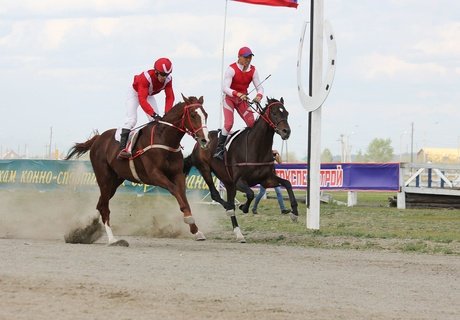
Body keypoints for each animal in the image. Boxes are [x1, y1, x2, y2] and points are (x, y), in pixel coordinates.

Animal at [66, 94, 210, 245]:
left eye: (206, 114)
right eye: (193, 115)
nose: (205, 140)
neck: (165, 140)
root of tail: (98, 138)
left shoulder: (178, 174)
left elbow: (183, 196)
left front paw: (196, 230)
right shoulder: (154, 175)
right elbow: (175, 190)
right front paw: (188, 218)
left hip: (115, 180)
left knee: (100, 204)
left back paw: (87, 231)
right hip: (103, 178)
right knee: (104, 207)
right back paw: (112, 239)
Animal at [183, 97, 298, 242]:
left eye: (286, 113)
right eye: (274, 113)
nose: (286, 132)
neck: (257, 148)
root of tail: (200, 141)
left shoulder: (267, 180)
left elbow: (287, 184)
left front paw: (294, 213)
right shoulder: (239, 182)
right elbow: (251, 194)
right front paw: (243, 207)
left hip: (228, 182)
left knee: (229, 199)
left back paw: (238, 233)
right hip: (205, 169)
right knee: (216, 195)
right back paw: (229, 209)